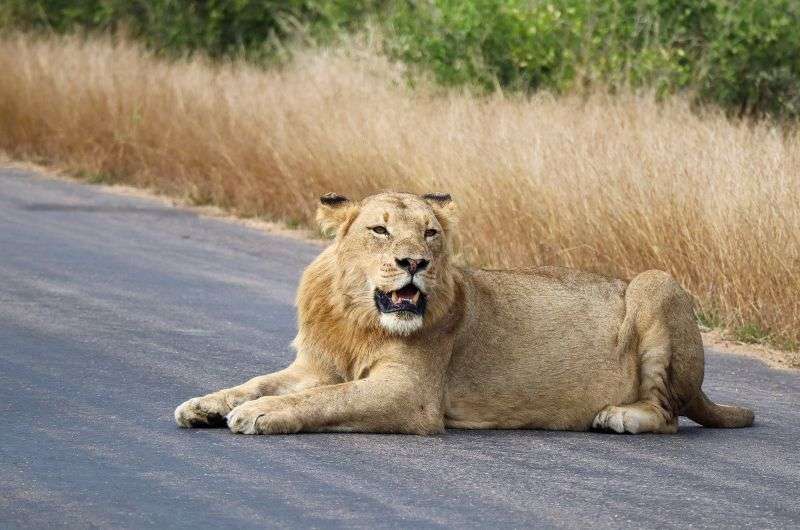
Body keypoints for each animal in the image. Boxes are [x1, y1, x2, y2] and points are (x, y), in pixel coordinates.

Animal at [175, 190, 756, 434]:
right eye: (380, 230)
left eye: (431, 232)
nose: (414, 262)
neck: (356, 318)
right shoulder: (315, 366)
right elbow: (258, 381)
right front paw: (204, 405)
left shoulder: (412, 395)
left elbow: (326, 399)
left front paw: (259, 415)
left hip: (657, 283)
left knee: (668, 416)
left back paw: (620, 416)